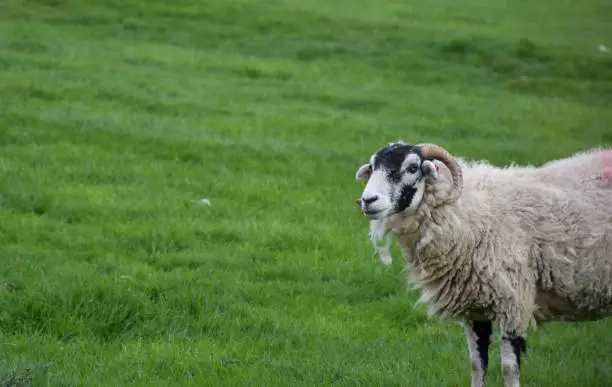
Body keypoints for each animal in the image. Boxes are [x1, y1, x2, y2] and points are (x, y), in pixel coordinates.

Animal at [352, 142, 612, 387]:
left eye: (412, 168)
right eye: (373, 167)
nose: (368, 200)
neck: (469, 212)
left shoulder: (513, 303)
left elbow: (509, 369)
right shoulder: (474, 306)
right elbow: (477, 365)